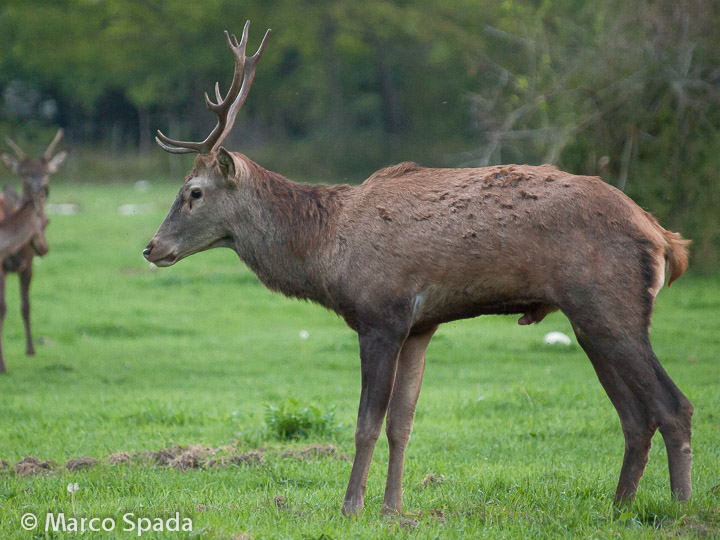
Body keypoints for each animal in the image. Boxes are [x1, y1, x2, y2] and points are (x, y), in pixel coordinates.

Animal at [0, 131, 66, 374]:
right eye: (24, 173)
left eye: (47, 172)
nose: (45, 249)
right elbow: (3, 308)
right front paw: (3, 365)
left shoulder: (26, 266)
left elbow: (25, 306)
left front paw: (30, 350)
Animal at [142, 23, 692, 516]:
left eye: (194, 192)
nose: (151, 247)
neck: (326, 252)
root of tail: (665, 238)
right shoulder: (421, 325)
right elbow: (401, 423)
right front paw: (392, 508)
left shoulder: (381, 316)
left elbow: (366, 422)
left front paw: (351, 507)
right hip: (589, 319)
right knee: (635, 417)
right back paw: (618, 506)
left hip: (610, 304)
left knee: (673, 405)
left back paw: (680, 506)